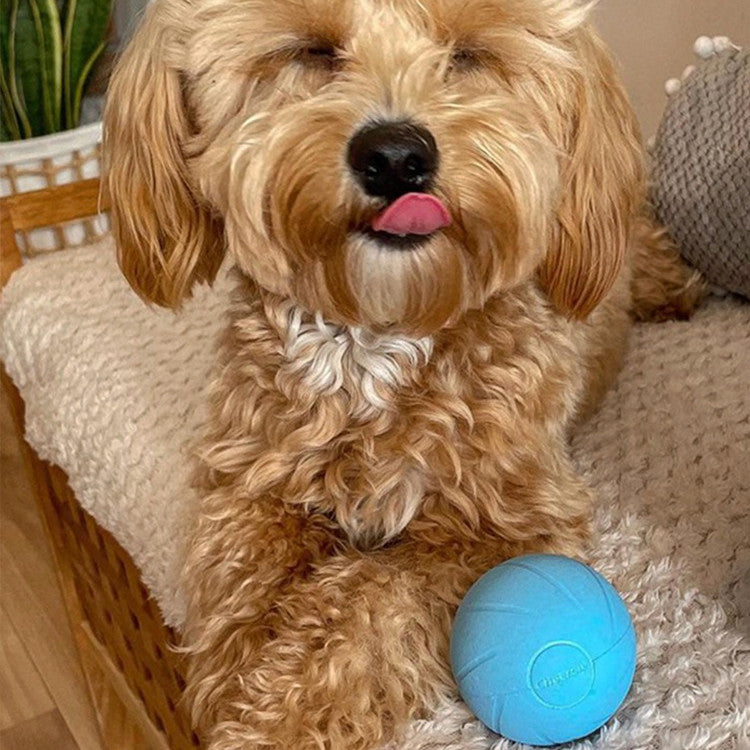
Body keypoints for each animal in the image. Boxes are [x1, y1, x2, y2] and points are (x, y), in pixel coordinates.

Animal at [104, 2, 704, 748]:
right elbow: (241, 579)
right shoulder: (250, 485)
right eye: (312, 50)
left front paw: (278, 717)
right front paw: (234, 675)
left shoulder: (506, 527)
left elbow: (371, 597)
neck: (373, 335)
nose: (394, 156)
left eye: (466, 55)